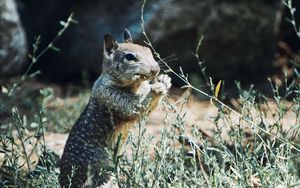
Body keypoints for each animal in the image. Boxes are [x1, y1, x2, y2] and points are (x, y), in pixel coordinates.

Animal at [58, 29, 171, 187]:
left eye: (149, 50)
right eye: (129, 57)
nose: (156, 70)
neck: (134, 86)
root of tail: (64, 181)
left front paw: (164, 80)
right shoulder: (111, 96)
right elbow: (133, 107)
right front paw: (156, 88)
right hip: (100, 165)